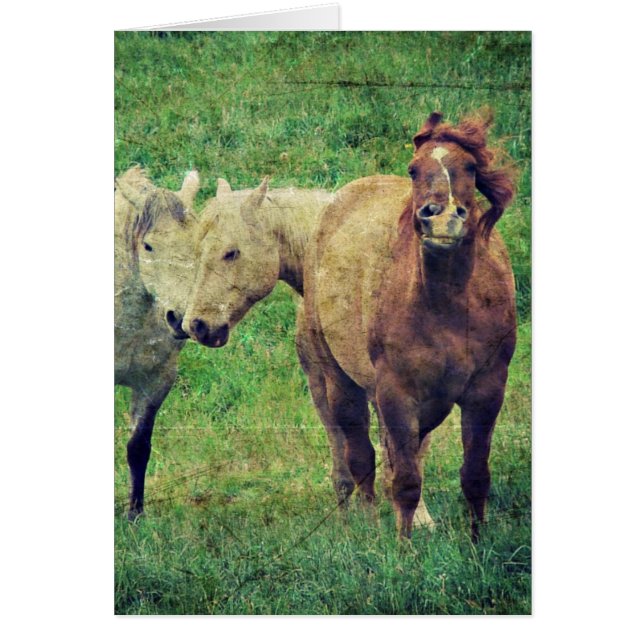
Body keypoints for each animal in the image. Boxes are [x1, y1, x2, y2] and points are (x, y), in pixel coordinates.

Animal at [302, 111, 517, 538]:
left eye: (471, 167)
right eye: (413, 169)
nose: (443, 219)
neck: (447, 306)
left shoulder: (487, 390)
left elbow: (474, 474)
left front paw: (478, 540)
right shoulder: (397, 393)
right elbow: (404, 480)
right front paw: (404, 548)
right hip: (340, 382)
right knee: (361, 459)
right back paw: (369, 528)